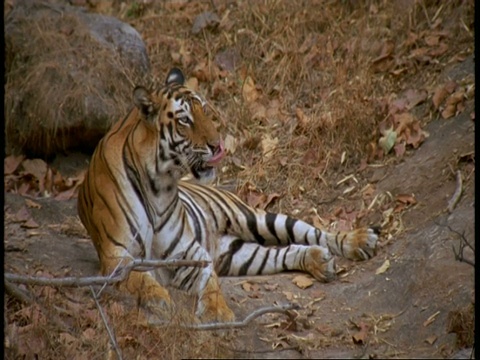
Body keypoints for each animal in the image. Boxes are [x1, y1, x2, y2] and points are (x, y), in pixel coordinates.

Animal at [78, 68, 378, 324]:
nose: (218, 145)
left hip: (255, 218)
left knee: (311, 232)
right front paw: (158, 300)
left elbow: (211, 284)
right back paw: (320, 261)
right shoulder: (116, 257)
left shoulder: (192, 253)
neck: (159, 186)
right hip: (239, 256)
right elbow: (140, 279)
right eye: (185, 120)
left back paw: (359, 241)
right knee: (284, 251)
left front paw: (217, 313)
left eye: (205, 109)